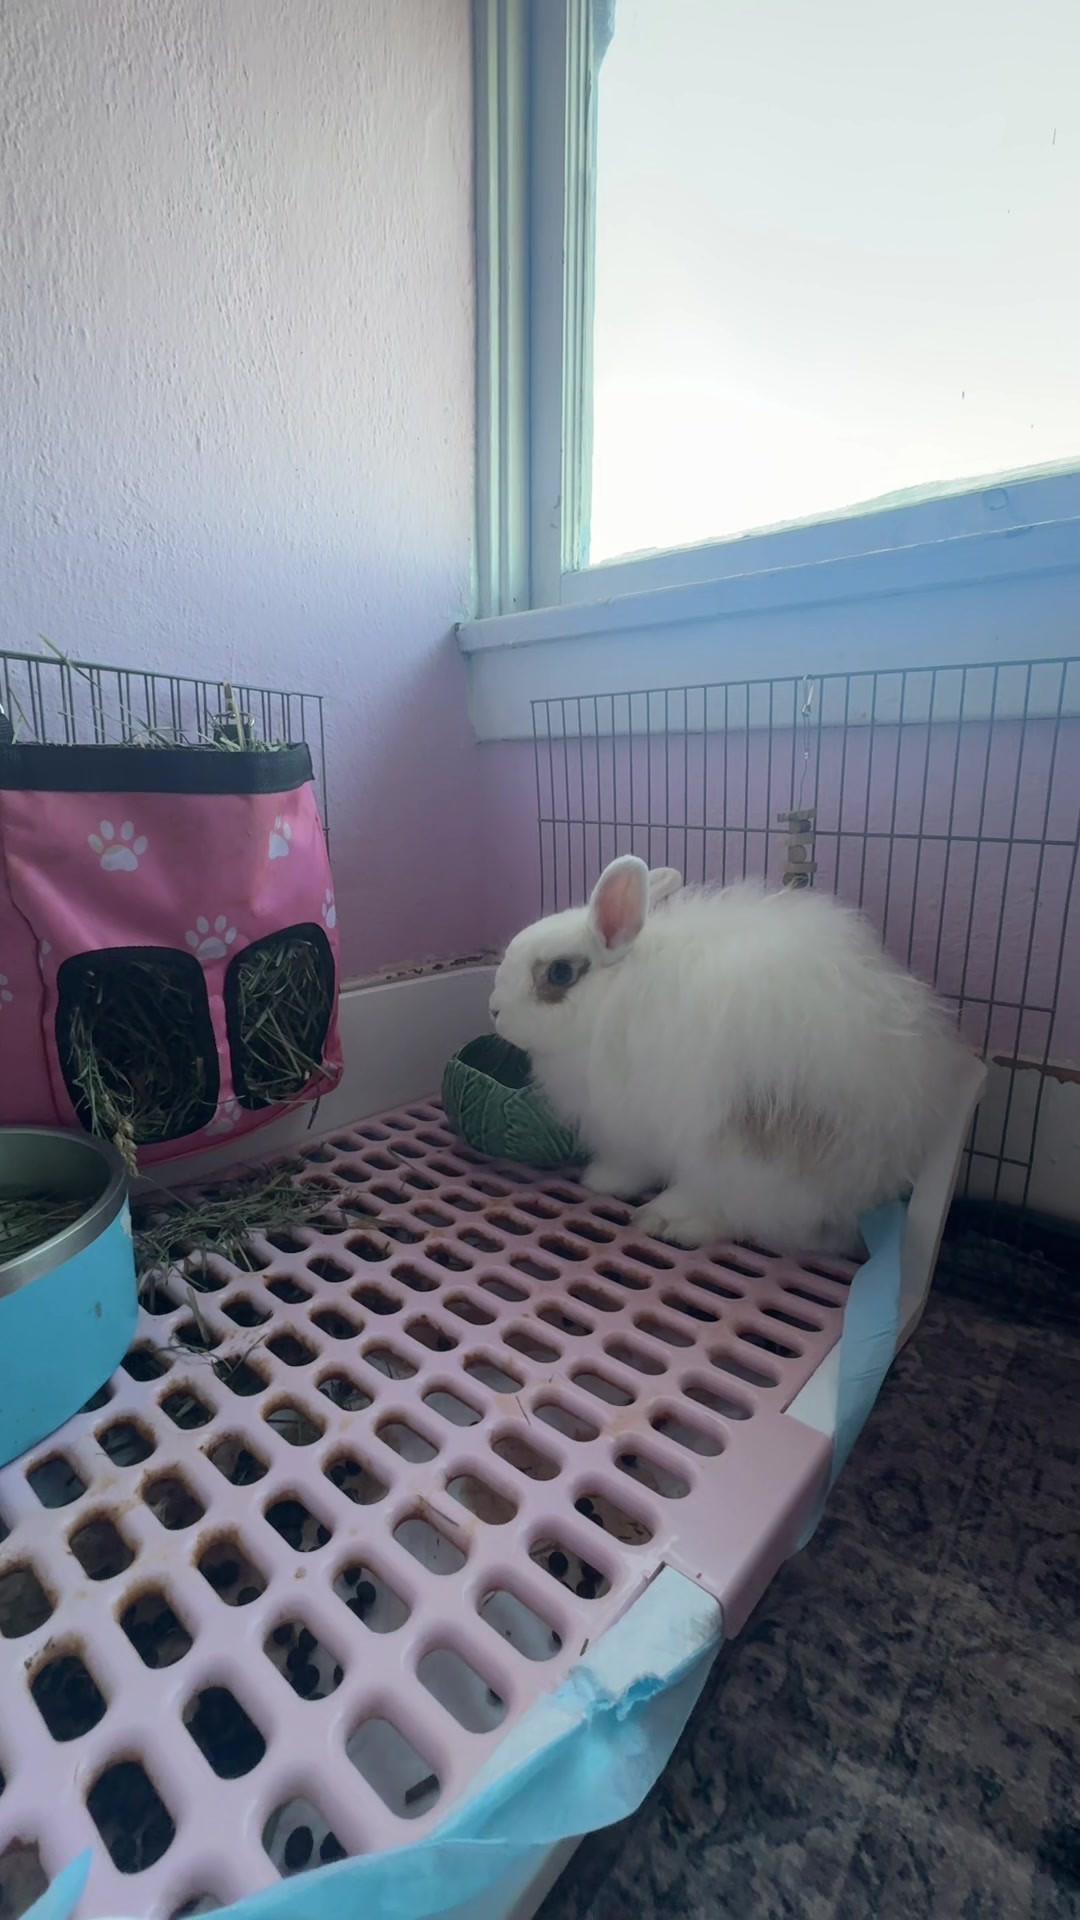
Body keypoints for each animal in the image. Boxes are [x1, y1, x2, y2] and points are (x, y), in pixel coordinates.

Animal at [488, 854, 967, 1255]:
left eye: (559, 973)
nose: (494, 1011)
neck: (612, 994)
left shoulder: (629, 1123)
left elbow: (630, 1162)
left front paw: (602, 1182)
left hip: (732, 1149)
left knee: (739, 1211)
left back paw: (669, 1221)